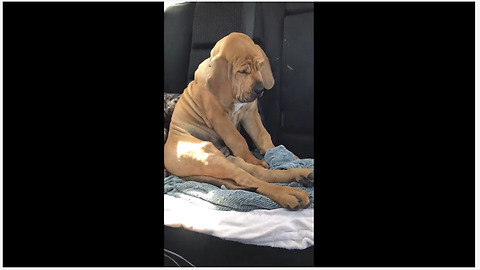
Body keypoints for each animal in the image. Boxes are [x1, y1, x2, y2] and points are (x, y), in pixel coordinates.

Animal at [164, 32, 316, 211]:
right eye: (243, 71)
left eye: (260, 66)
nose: (260, 89)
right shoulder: (220, 118)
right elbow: (238, 139)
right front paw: (255, 157)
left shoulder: (250, 114)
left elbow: (262, 136)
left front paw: (281, 153)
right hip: (211, 158)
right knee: (249, 180)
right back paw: (289, 194)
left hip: (229, 160)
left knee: (262, 174)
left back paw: (304, 174)